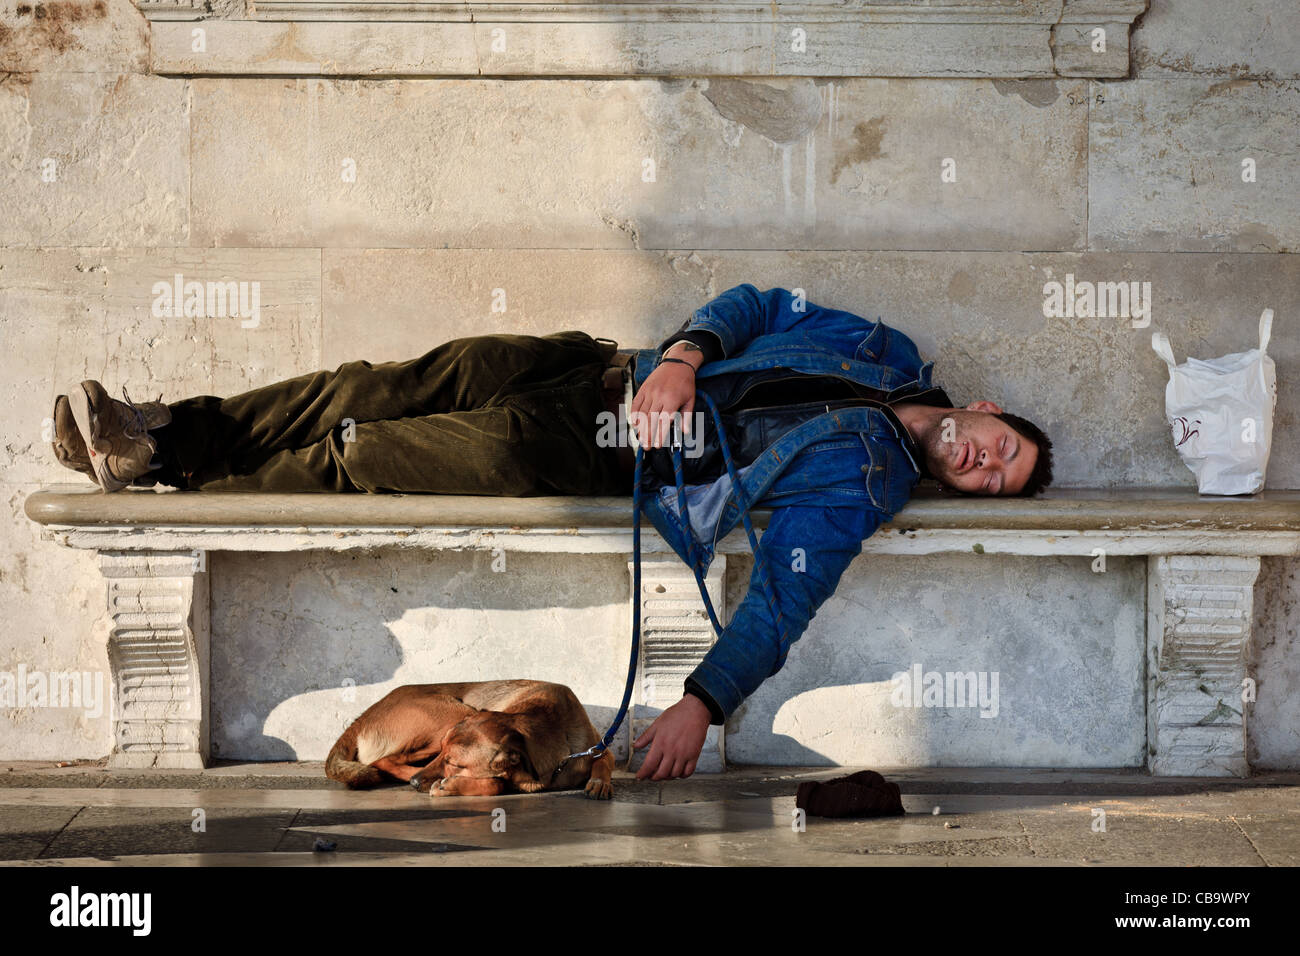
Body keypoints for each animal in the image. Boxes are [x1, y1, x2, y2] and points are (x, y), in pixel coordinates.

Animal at [322, 681, 611, 801]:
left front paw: (599, 783)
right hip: (456, 713)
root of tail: (364, 715)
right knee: (383, 760)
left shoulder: (599, 747)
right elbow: (496, 784)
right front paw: (451, 786)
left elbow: (604, 761)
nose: (415, 783)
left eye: (456, 764)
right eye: (442, 754)